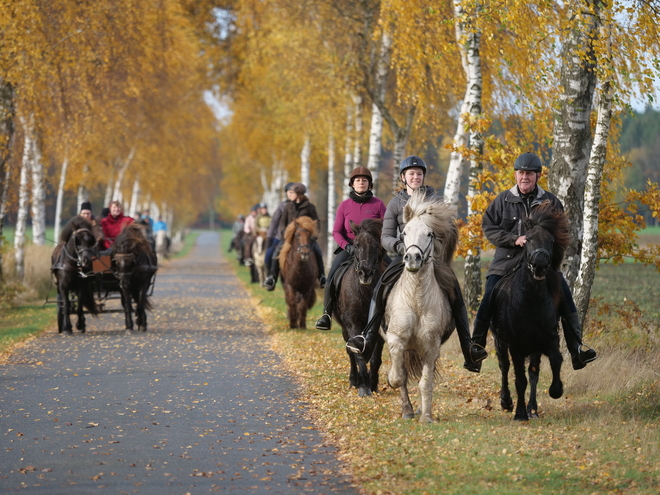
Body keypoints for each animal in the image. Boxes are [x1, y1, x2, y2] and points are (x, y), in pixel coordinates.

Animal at [336, 219, 386, 398]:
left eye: (376, 246)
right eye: (356, 245)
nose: (365, 273)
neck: (365, 291)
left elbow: (375, 357)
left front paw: (373, 384)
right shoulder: (352, 322)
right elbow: (357, 351)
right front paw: (364, 386)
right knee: (350, 352)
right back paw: (354, 380)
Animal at [382, 188, 458, 424]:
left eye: (430, 234)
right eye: (404, 233)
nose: (413, 258)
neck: (416, 299)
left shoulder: (431, 347)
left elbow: (426, 383)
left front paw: (426, 416)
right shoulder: (396, 338)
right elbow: (399, 377)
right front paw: (394, 384)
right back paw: (407, 410)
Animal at [492, 202, 568, 422]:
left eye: (551, 241)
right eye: (528, 239)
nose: (540, 265)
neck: (530, 303)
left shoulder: (548, 339)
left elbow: (554, 361)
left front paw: (555, 391)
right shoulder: (516, 345)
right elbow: (519, 379)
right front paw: (519, 413)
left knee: (533, 372)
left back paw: (532, 409)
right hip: (500, 341)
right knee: (504, 367)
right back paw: (506, 402)